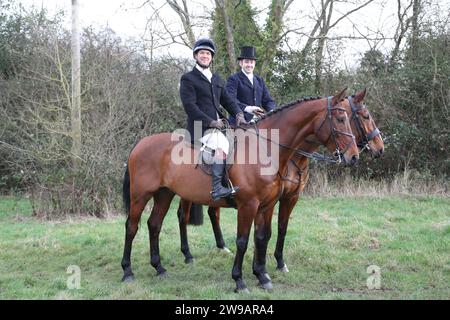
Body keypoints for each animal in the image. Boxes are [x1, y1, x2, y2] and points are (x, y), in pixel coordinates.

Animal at [121, 88, 360, 292]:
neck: (265, 149)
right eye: (341, 119)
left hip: (164, 194)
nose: (354, 157)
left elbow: (263, 237)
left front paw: (262, 276)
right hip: (140, 196)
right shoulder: (248, 205)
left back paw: (159, 268)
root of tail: (140, 144)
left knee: (154, 225)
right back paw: (127, 271)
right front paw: (239, 280)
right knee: (132, 227)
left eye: (350, 118)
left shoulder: (267, 205)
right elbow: (242, 241)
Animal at [176, 89, 384, 272]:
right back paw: (188, 255)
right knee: (182, 215)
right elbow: (261, 232)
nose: (379, 149)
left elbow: (279, 229)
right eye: (364, 116)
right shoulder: (266, 199)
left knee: (212, 212)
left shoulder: (288, 197)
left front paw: (273, 264)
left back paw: (220, 247)